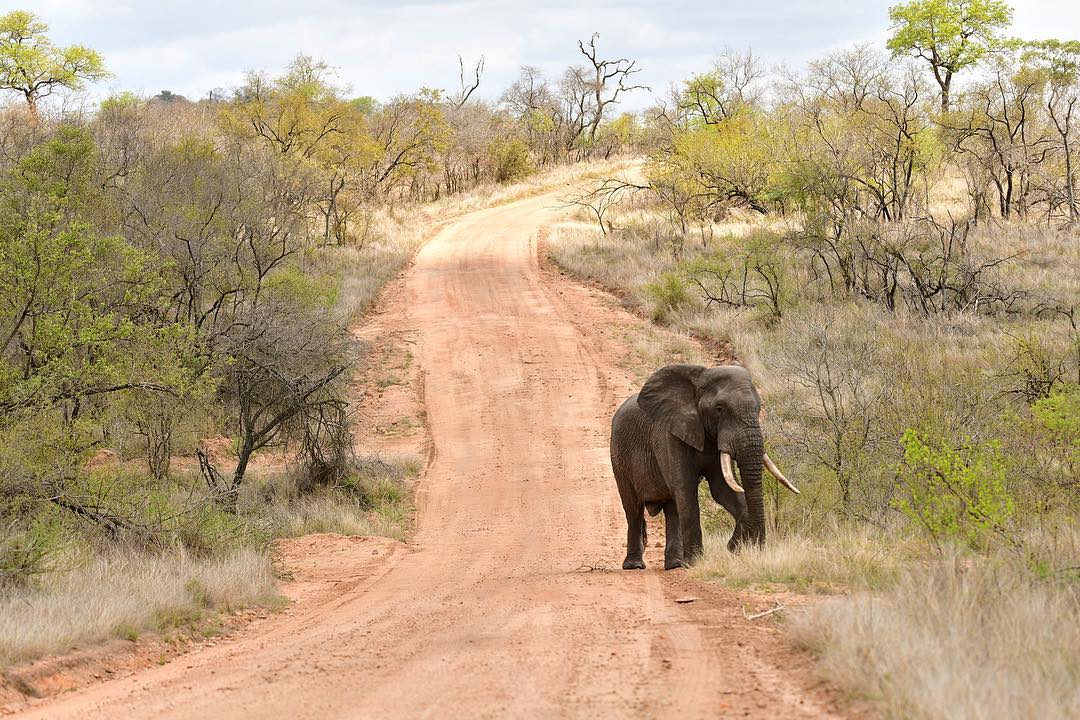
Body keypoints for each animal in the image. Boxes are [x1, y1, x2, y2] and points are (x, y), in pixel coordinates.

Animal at [613, 362, 799, 569]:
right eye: (719, 409)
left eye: (759, 409)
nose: (758, 549)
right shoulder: (668, 434)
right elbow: (685, 488)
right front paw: (696, 562)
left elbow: (722, 489)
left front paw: (732, 548)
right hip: (619, 457)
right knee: (633, 508)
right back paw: (635, 565)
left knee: (672, 508)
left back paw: (675, 564)